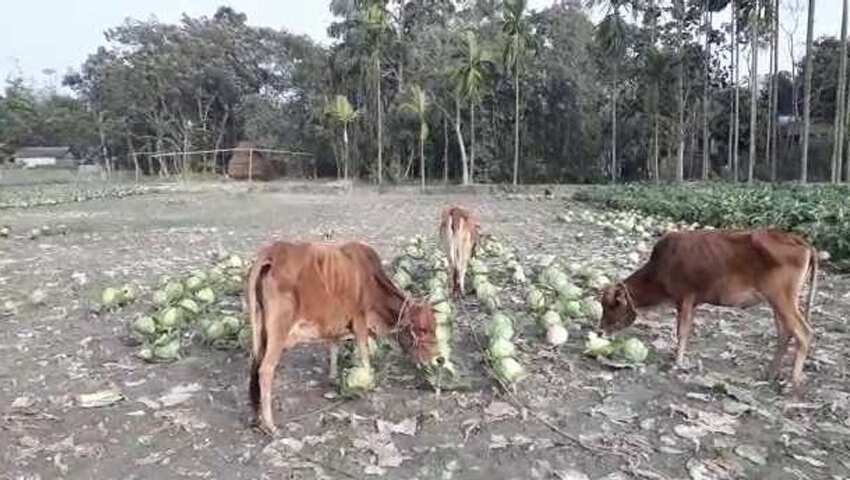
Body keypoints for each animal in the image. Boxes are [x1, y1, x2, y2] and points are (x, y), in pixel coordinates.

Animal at [245, 242, 440, 434]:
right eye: (422, 329)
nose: (437, 358)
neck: (371, 281)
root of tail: (271, 253)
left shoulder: (336, 324)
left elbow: (333, 347)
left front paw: (332, 377)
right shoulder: (360, 320)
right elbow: (364, 355)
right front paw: (368, 382)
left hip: (260, 330)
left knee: (255, 366)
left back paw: (256, 417)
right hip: (278, 329)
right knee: (265, 370)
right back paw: (270, 424)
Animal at [596, 229, 816, 390]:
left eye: (611, 305)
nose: (600, 331)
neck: (659, 269)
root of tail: (802, 242)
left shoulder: (685, 298)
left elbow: (682, 331)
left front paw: (677, 362)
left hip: (782, 300)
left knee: (804, 333)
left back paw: (793, 382)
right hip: (776, 303)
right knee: (785, 333)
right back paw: (770, 374)